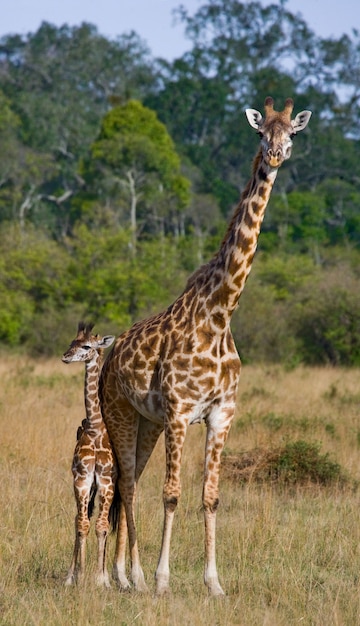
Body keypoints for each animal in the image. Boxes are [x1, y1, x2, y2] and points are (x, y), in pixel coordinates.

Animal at [100, 97, 310, 596]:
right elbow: (172, 495)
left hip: (147, 422)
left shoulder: (221, 414)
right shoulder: (180, 412)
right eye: (260, 133)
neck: (220, 314)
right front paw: (162, 580)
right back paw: (133, 576)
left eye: (291, 134)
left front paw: (214, 583)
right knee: (127, 484)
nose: (274, 157)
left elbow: (210, 497)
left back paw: (124, 574)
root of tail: (110, 356)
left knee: (129, 480)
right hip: (120, 413)